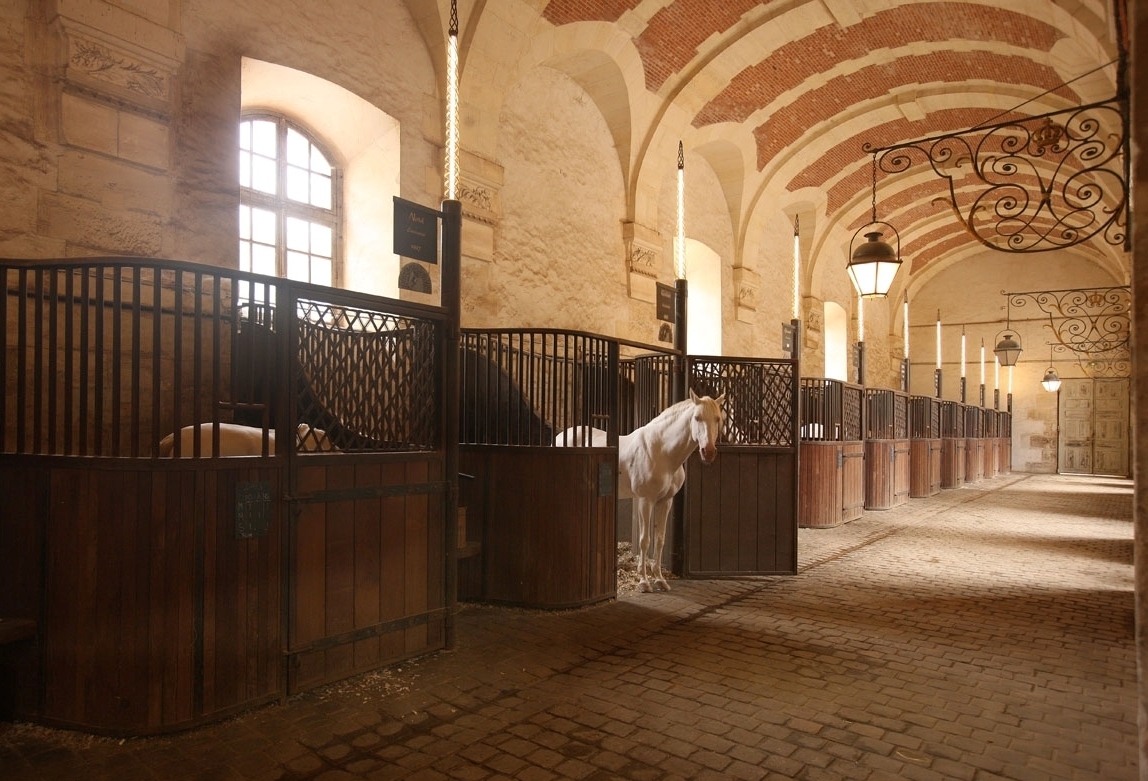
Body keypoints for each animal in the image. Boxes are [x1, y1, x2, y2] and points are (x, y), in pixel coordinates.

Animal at [551, 390, 720, 592]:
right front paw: (644, 582)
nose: (708, 452)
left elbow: (660, 539)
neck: (662, 451)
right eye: (697, 417)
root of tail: (561, 435)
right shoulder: (645, 500)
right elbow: (644, 540)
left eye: (718, 419)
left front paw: (660, 580)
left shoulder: (665, 501)